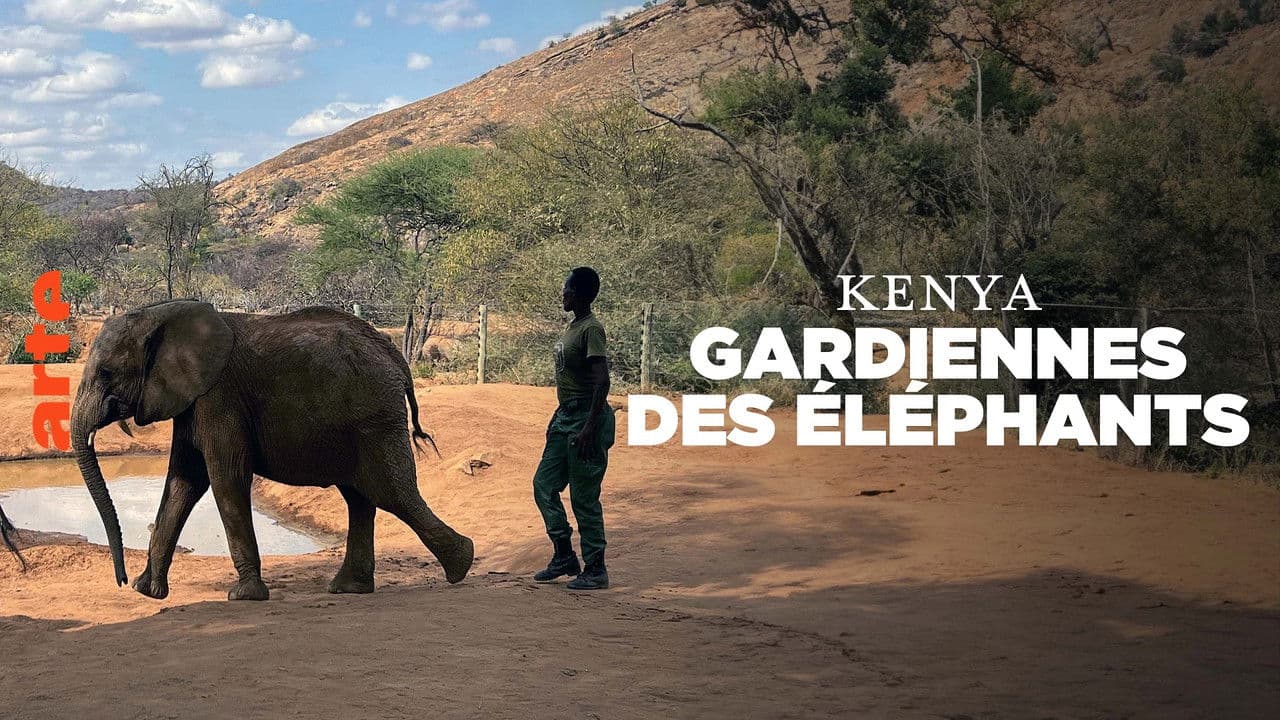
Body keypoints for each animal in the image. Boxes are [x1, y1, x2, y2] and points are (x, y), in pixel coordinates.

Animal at [70, 300, 474, 601]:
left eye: (106, 373)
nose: (121, 580)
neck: (159, 315)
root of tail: (398, 360)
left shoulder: (220, 397)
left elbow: (225, 479)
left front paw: (244, 596)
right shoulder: (191, 399)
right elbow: (182, 483)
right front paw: (147, 591)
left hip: (375, 417)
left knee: (391, 492)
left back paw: (462, 564)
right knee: (361, 498)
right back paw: (351, 588)